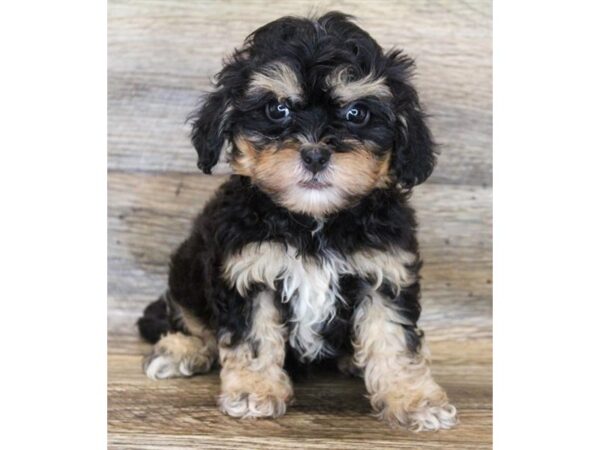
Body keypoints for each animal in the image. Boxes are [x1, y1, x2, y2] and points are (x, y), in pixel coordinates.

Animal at [137, 12, 457, 431]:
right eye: (278, 110)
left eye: (356, 113)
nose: (316, 154)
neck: (313, 221)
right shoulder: (249, 271)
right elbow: (254, 338)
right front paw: (253, 391)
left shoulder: (384, 272)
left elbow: (394, 337)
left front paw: (414, 398)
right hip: (188, 267)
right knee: (189, 316)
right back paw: (180, 349)